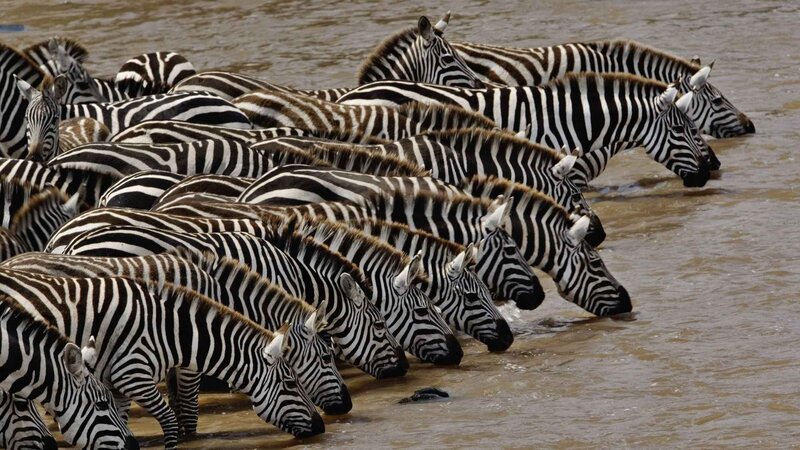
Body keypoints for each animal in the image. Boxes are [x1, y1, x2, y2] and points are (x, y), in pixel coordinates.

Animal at [1, 249, 351, 421]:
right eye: (326, 357)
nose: (347, 406)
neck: (219, 292)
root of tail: (13, 258)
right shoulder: (189, 350)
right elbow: (187, 399)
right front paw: (187, 434)